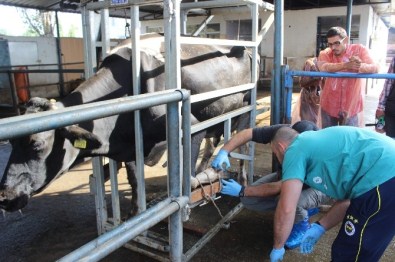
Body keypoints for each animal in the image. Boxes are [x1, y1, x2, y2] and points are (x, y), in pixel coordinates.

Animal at [0, 33, 254, 215]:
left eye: (37, 144)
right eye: (10, 143)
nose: (4, 196)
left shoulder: (190, 124)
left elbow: (187, 174)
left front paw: (199, 182)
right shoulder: (131, 144)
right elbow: (134, 179)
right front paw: (135, 210)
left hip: (244, 108)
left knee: (243, 144)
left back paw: (241, 181)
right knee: (214, 143)